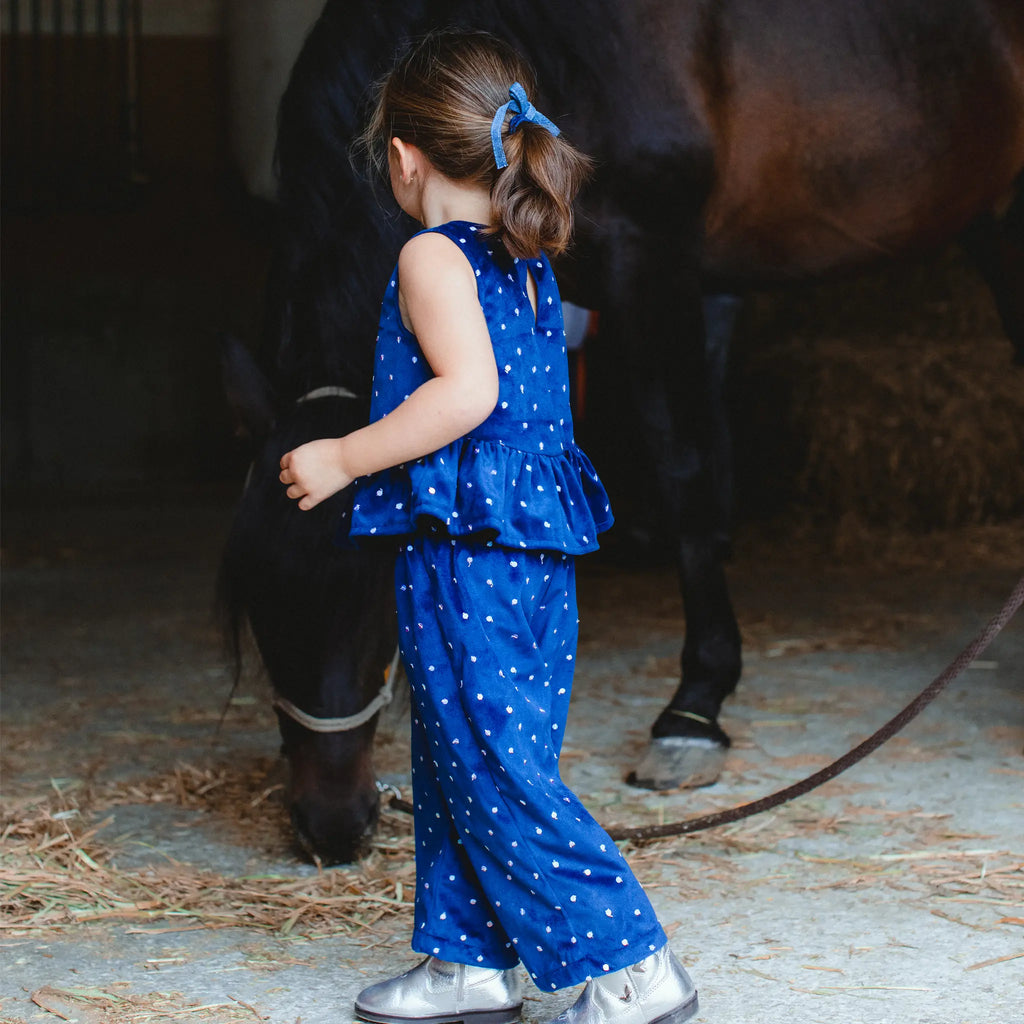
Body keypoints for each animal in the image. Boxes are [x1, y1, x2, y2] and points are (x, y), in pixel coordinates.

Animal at [224, 0, 1024, 860]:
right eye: (257, 595)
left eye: (376, 600)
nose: (332, 825)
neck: (563, 49)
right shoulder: (693, 284)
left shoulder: (655, 263)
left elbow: (685, 468)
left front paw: (694, 710)